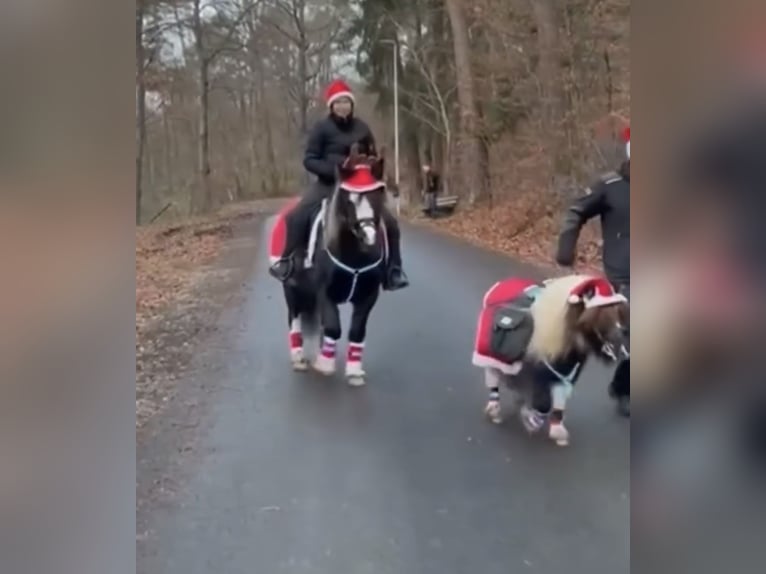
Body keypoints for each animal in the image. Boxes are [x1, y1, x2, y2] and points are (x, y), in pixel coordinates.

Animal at [270, 145, 390, 388]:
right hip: (292, 290)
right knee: (294, 319)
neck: (354, 255)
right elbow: (334, 328)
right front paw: (325, 365)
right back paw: (299, 359)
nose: (369, 237)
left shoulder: (368, 295)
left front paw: (353, 371)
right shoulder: (325, 293)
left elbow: (356, 331)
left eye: (377, 195)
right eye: (348, 200)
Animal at [474, 276, 632, 448]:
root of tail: (502, 283)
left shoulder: (563, 376)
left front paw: (557, 432)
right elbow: (543, 404)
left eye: (618, 312)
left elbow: (557, 402)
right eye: (600, 315)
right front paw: (531, 420)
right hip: (490, 357)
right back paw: (495, 410)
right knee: (493, 377)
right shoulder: (540, 375)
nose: (623, 346)